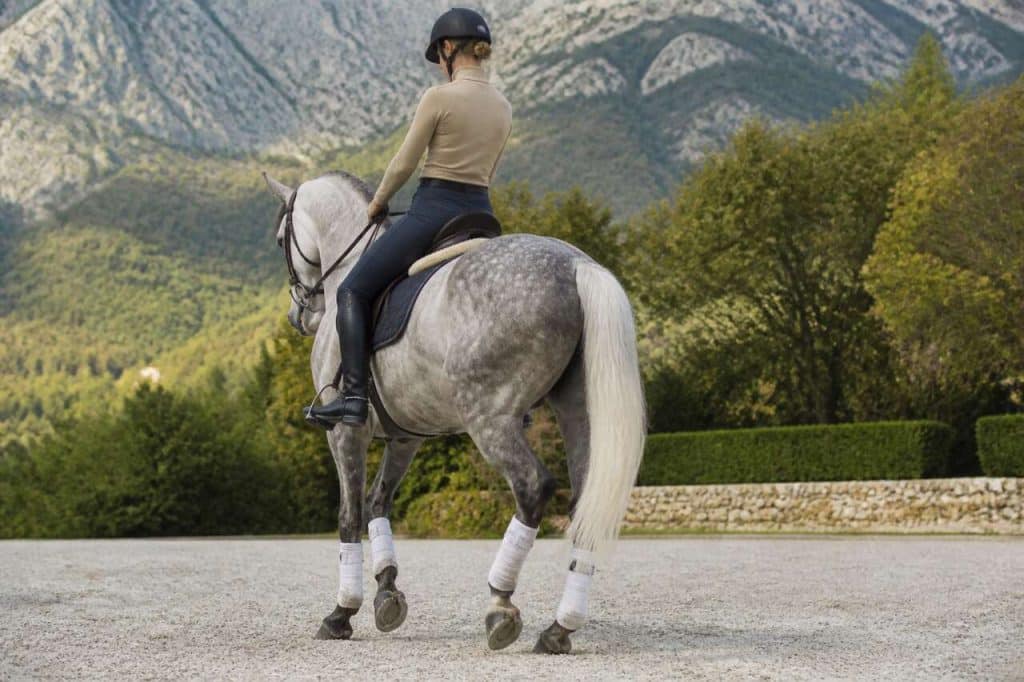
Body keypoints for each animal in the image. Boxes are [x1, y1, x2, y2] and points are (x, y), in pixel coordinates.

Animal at [262, 170, 646, 654]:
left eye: (281, 239)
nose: (299, 316)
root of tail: (577, 266)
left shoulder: (346, 433)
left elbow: (349, 515)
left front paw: (342, 612)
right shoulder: (405, 436)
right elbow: (377, 503)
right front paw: (387, 593)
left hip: (489, 418)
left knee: (533, 487)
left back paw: (501, 604)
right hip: (579, 413)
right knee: (584, 504)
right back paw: (559, 628)